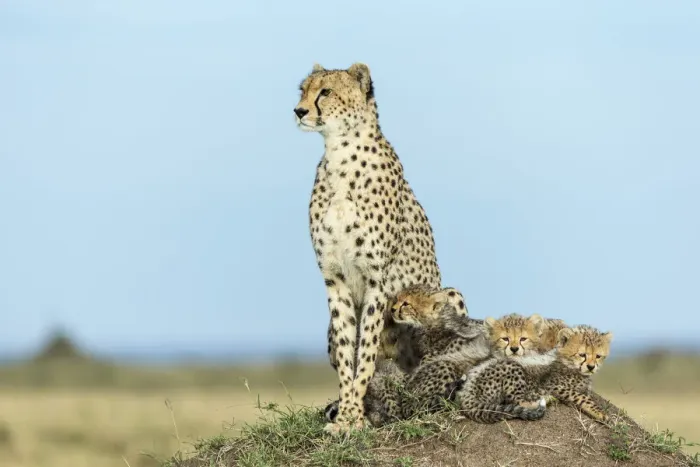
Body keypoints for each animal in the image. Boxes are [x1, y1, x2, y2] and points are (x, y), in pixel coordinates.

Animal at [295, 63, 442, 434]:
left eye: (326, 92)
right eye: (303, 90)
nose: (299, 111)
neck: (339, 155)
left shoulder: (377, 280)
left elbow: (365, 352)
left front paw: (353, 416)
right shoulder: (334, 279)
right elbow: (348, 348)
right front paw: (346, 414)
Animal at [454, 324, 614, 423]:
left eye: (598, 356)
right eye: (582, 355)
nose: (591, 367)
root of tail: (467, 391)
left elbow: (585, 393)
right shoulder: (554, 385)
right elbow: (582, 397)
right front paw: (599, 412)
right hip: (512, 368)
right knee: (517, 400)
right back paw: (542, 400)